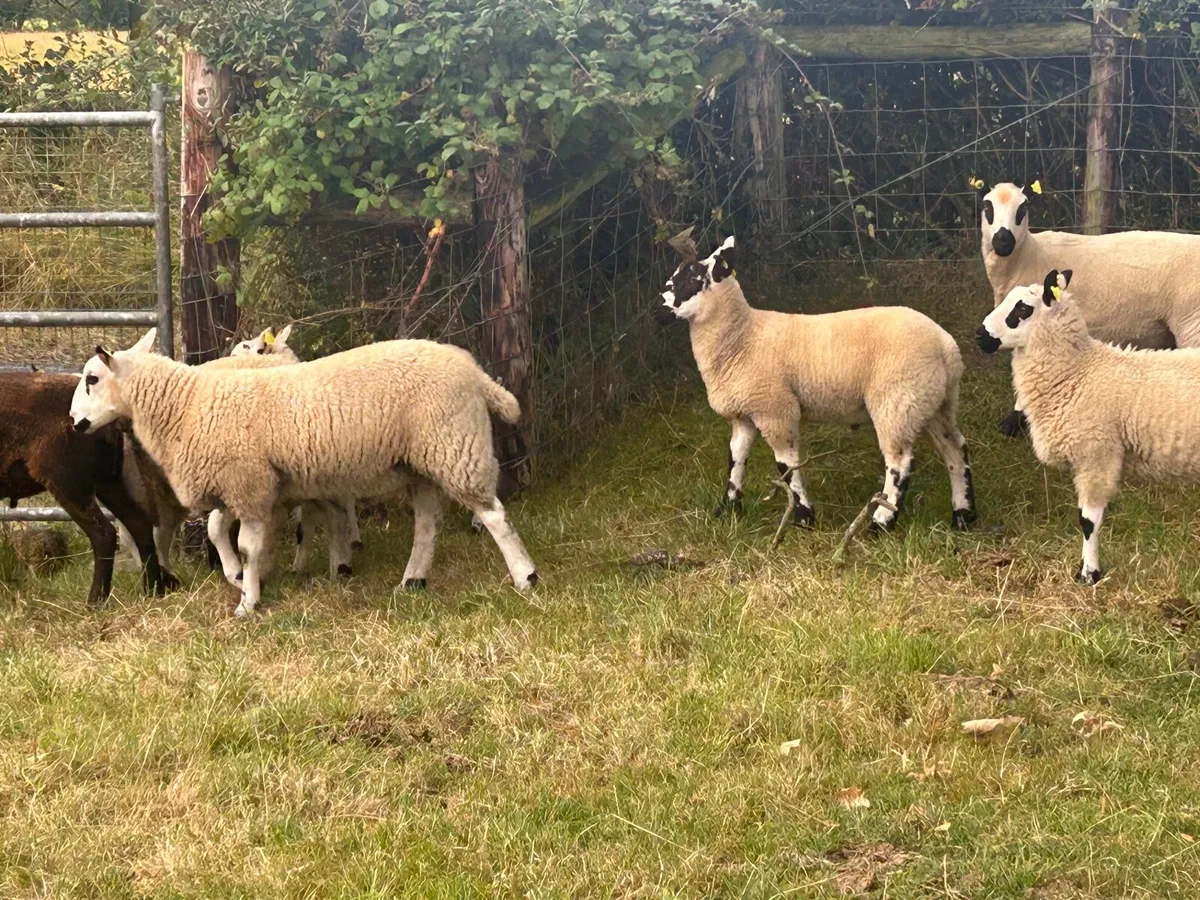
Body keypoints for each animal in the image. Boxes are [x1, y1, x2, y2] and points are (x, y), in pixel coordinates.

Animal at [0, 371, 173, 606]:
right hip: (107, 481)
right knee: (140, 525)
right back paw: (153, 590)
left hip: (69, 481)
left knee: (104, 534)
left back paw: (95, 601)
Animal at [69, 329, 539, 616]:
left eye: (92, 378)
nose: (74, 423)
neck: (185, 405)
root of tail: (475, 372)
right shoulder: (247, 486)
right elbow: (221, 533)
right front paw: (240, 579)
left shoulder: (250, 485)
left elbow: (248, 546)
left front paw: (248, 602)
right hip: (420, 462)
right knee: (427, 523)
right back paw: (413, 581)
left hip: (454, 444)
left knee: (494, 515)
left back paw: (525, 577)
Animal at [660, 234, 976, 531]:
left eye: (694, 279)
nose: (662, 301)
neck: (742, 336)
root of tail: (946, 347)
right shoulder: (744, 415)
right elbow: (735, 460)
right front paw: (727, 509)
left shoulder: (775, 409)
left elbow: (786, 465)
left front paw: (804, 517)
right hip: (933, 402)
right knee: (955, 449)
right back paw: (963, 515)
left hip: (897, 402)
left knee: (900, 464)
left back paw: (880, 523)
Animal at [977, 268, 1200, 583]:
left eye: (1022, 309)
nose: (980, 336)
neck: (1077, 372)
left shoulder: (1096, 456)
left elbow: (1087, 521)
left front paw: (1089, 574)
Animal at [979, 181, 1200, 435]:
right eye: (987, 206)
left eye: (1022, 208)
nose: (1003, 241)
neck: (1029, 256)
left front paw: (1014, 420)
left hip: (1192, 323)